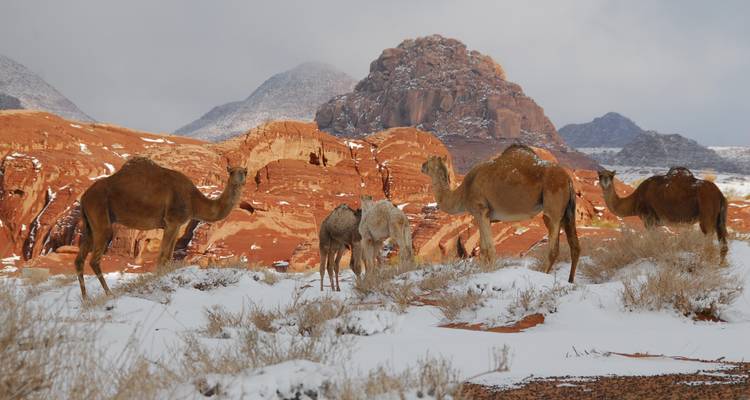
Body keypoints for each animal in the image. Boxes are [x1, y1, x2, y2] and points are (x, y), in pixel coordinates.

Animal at [75, 156, 247, 298]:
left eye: (245, 171)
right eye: (231, 171)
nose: (240, 176)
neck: (193, 200)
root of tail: (84, 197)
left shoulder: (176, 225)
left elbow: (168, 256)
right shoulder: (172, 221)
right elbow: (162, 257)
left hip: (89, 224)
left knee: (79, 260)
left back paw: (85, 299)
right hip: (100, 216)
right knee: (94, 259)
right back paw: (109, 293)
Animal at [421, 145, 581, 282]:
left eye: (429, 160)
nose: (422, 166)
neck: (463, 192)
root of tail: (568, 180)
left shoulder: (480, 210)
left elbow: (488, 250)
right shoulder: (486, 217)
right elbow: (484, 250)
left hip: (552, 207)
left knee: (553, 247)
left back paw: (543, 274)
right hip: (567, 212)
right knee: (575, 247)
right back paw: (570, 280)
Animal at [597, 167, 728, 264]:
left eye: (611, 176)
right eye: (600, 176)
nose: (605, 181)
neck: (635, 200)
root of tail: (720, 194)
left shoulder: (649, 219)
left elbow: (653, 241)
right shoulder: (655, 223)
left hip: (706, 213)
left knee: (709, 237)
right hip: (718, 218)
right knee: (722, 241)